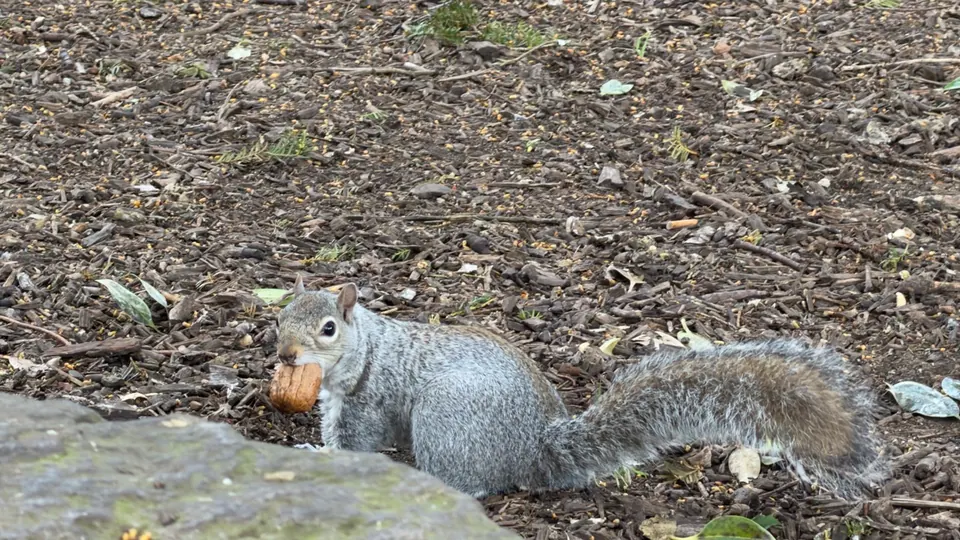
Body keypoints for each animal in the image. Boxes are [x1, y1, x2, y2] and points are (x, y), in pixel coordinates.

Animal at [275, 276, 890, 500]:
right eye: (278, 316)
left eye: (328, 329)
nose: (285, 355)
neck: (368, 350)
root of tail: (531, 449)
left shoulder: (369, 401)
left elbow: (354, 445)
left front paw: (317, 458)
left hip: (448, 416)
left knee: (467, 484)